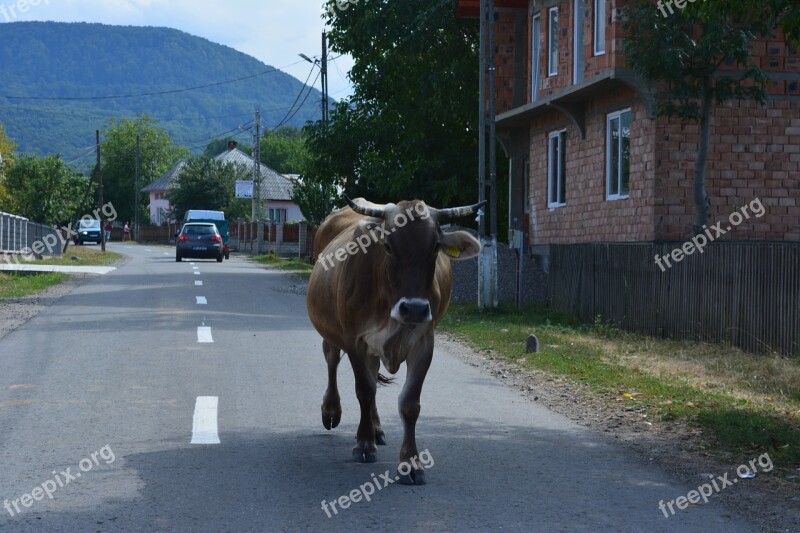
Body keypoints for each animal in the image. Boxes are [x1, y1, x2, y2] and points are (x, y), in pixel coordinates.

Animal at [304, 197, 482, 484]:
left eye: (435, 247)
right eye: (387, 246)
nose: (415, 309)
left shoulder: (424, 342)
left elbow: (409, 403)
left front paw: (410, 462)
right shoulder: (354, 340)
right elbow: (364, 390)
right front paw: (364, 444)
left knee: (373, 372)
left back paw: (377, 428)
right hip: (331, 328)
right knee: (331, 359)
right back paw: (332, 410)